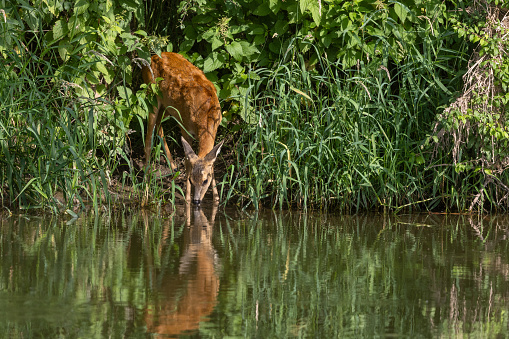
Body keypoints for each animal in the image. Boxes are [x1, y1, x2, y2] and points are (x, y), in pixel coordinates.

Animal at [142, 52, 223, 206]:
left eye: (205, 180)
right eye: (191, 179)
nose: (197, 201)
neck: (206, 115)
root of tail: (154, 56)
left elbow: (212, 163)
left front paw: (216, 199)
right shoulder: (185, 126)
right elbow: (187, 161)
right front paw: (187, 198)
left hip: (167, 106)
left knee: (159, 125)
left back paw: (173, 166)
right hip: (152, 95)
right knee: (149, 136)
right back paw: (147, 176)